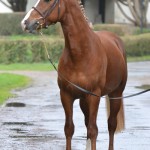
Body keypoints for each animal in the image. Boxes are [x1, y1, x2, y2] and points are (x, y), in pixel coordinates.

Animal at [20, 0, 126, 149]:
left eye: (47, 1)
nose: (25, 22)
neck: (81, 53)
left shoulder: (94, 96)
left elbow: (93, 130)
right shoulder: (66, 95)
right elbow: (69, 128)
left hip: (116, 94)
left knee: (111, 124)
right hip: (83, 101)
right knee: (87, 123)